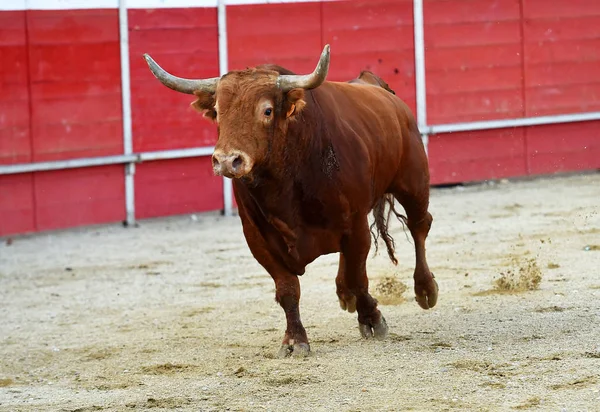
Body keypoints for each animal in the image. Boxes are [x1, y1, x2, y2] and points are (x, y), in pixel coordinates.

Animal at [143, 45, 438, 358]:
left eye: (267, 110)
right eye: (219, 113)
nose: (226, 160)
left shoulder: (356, 223)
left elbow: (360, 277)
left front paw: (372, 319)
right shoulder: (258, 238)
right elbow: (288, 289)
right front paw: (295, 340)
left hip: (413, 182)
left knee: (419, 226)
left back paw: (425, 289)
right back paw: (344, 292)